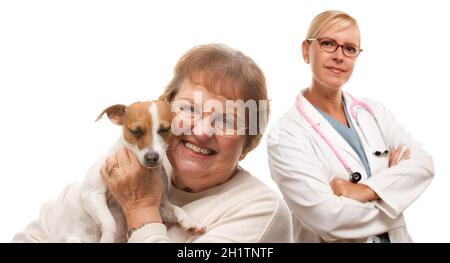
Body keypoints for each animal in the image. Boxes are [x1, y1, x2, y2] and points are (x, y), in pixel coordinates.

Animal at [46, 101, 205, 243]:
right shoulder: (92, 195)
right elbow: (110, 222)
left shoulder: (161, 206)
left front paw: (191, 223)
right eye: (135, 131)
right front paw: (107, 239)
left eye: (164, 129)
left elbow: (177, 209)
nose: (152, 158)